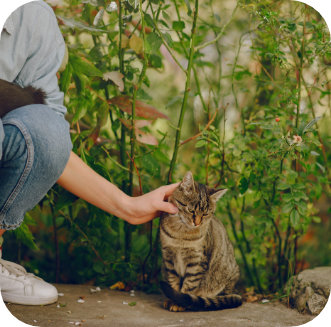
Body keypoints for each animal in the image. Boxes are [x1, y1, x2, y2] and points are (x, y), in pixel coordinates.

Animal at [161, 172, 244, 312]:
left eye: (205, 214)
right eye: (191, 210)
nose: (197, 223)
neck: (180, 234)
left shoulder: (197, 262)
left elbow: (188, 285)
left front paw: (179, 303)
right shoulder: (169, 257)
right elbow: (173, 281)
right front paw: (171, 299)